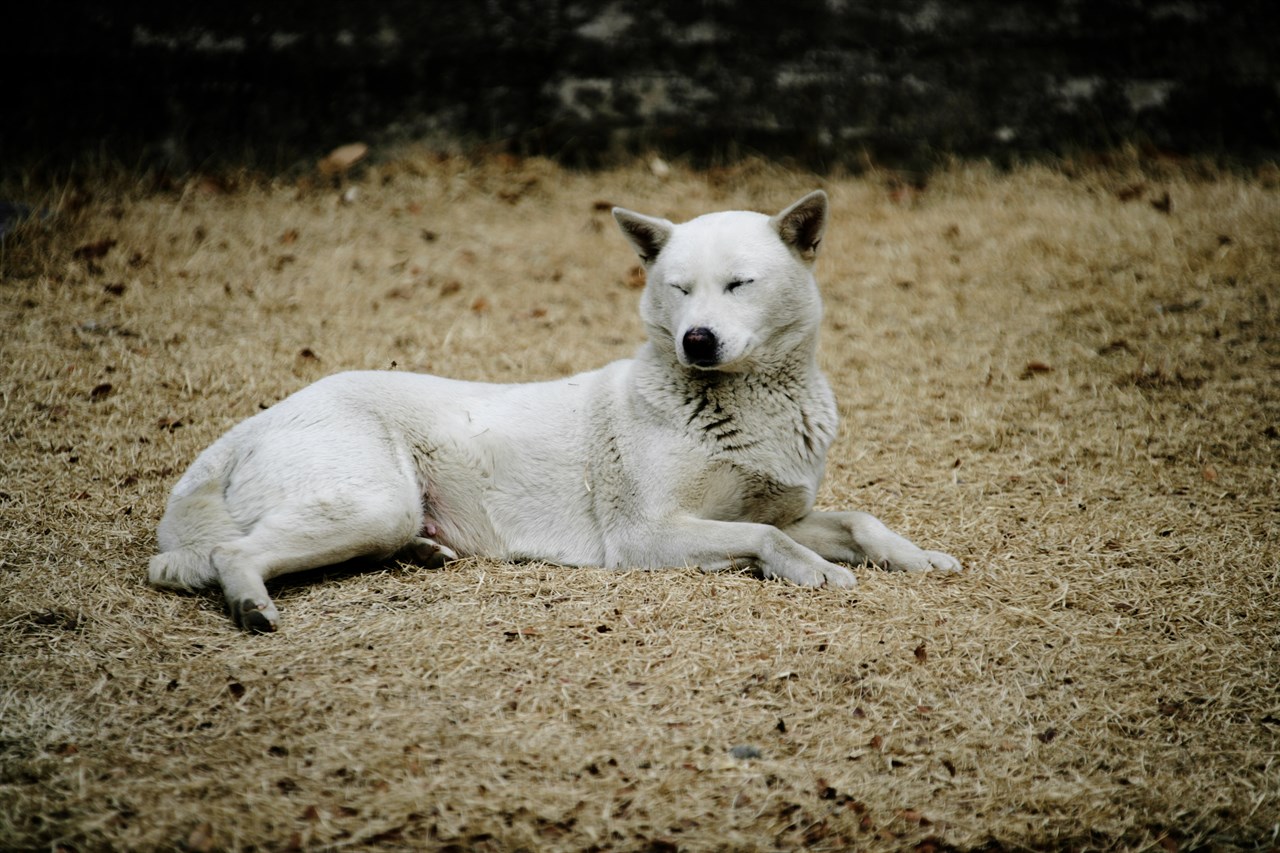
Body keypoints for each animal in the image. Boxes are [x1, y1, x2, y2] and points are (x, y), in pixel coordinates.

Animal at [147, 192, 962, 627]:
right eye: (678, 288)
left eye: (739, 284)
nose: (696, 340)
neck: (746, 401)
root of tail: (251, 424)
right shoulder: (648, 536)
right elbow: (765, 537)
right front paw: (815, 574)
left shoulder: (791, 509)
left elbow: (857, 521)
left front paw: (918, 557)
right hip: (367, 501)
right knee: (227, 554)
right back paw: (250, 603)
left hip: (378, 512)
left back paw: (425, 552)